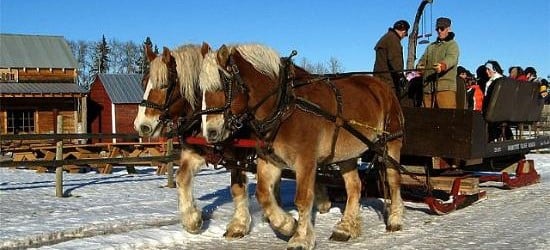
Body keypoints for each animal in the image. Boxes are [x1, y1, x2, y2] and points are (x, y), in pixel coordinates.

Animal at [134, 43, 254, 238]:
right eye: (143, 83)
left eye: (164, 85)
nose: (141, 126)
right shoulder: (195, 151)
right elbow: (181, 178)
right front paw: (192, 220)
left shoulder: (239, 156)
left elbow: (238, 187)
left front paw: (239, 225)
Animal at [202, 44, 406, 249]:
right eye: (200, 91)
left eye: (221, 86)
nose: (209, 132)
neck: (284, 106)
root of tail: (382, 86)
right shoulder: (270, 160)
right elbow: (263, 194)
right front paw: (286, 224)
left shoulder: (306, 160)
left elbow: (302, 199)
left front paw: (300, 238)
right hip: (347, 153)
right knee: (354, 186)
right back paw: (346, 228)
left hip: (391, 143)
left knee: (393, 180)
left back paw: (395, 220)